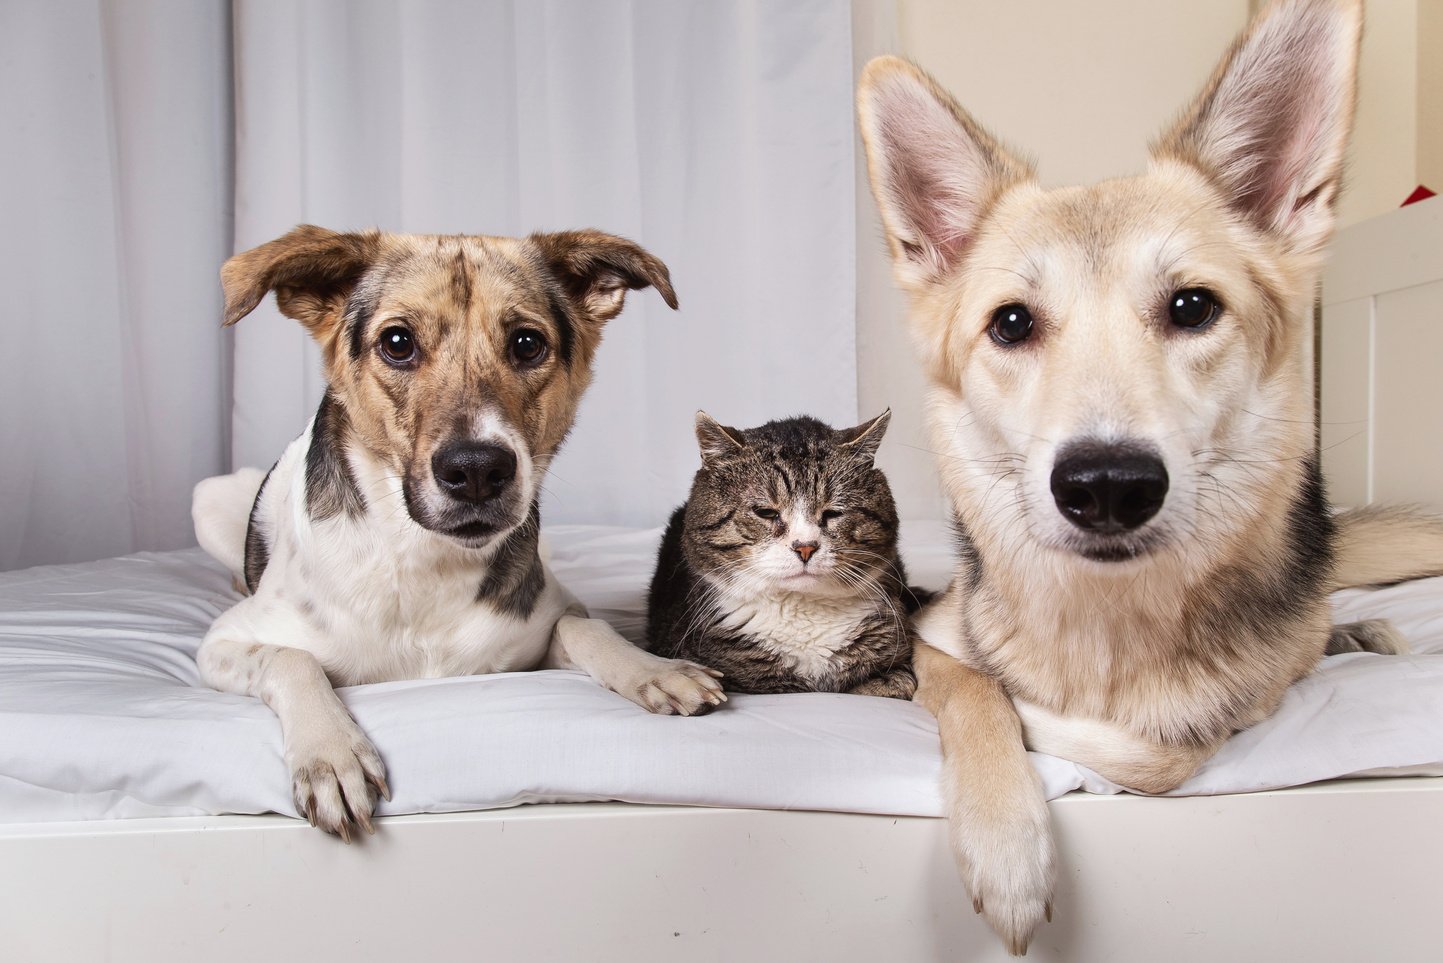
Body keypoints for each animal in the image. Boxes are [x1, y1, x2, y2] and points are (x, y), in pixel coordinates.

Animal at [194, 223, 721, 837]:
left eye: (527, 343)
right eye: (398, 342)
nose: (476, 471)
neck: (425, 557)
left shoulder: (541, 626)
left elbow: (586, 628)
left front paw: (655, 671)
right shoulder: (222, 644)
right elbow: (290, 659)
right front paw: (331, 753)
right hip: (210, 500)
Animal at [854, 0, 1443, 952]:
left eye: (1192, 307)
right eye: (1010, 324)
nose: (1106, 486)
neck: (1109, 627)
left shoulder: (1206, 719)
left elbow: (1161, 747)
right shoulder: (935, 637)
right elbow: (977, 688)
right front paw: (1008, 845)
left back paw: (1360, 634)